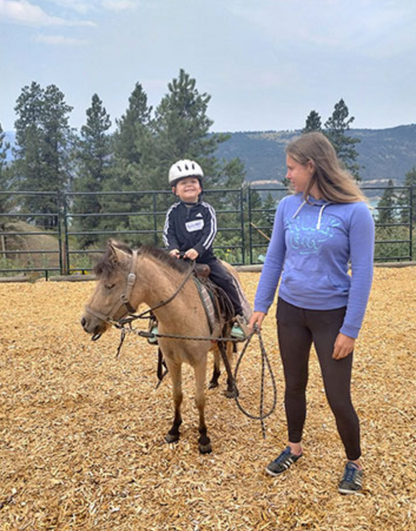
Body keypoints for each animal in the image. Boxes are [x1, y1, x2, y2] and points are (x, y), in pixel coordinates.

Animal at [80, 241, 247, 454]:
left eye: (110, 285)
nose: (85, 322)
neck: (182, 312)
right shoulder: (172, 361)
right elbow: (177, 396)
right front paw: (174, 429)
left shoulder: (199, 362)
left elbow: (199, 399)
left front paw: (203, 437)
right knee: (218, 353)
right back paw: (215, 379)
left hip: (227, 335)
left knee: (228, 356)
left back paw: (230, 387)